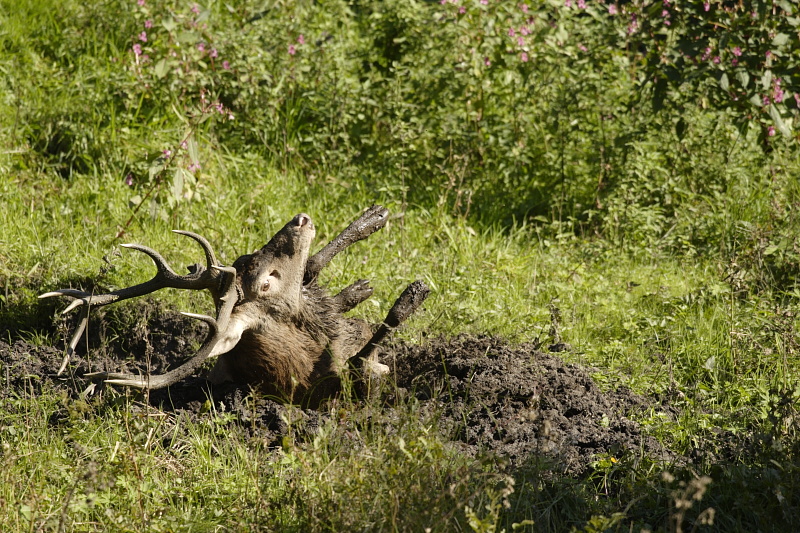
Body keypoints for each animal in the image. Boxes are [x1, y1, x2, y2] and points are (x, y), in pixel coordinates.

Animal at [42, 206, 432, 406]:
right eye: (267, 282)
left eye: (244, 256)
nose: (300, 219)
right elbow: (366, 357)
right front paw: (410, 295)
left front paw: (373, 219)